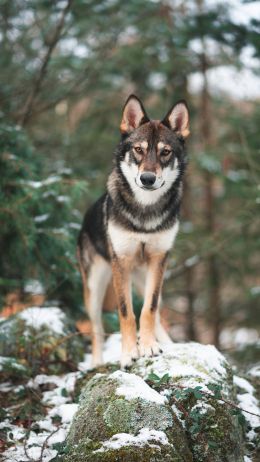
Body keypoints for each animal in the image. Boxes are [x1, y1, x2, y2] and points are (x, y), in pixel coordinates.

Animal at [76, 94, 189, 368]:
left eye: (165, 152)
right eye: (138, 150)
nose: (147, 179)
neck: (144, 213)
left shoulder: (159, 260)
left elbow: (148, 309)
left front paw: (148, 347)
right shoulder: (122, 262)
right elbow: (126, 312)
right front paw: (129, 354)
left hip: (148, 276)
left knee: (157, 312)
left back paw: (168, 344)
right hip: (95, 288)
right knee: (96, 329)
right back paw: (97, 363)